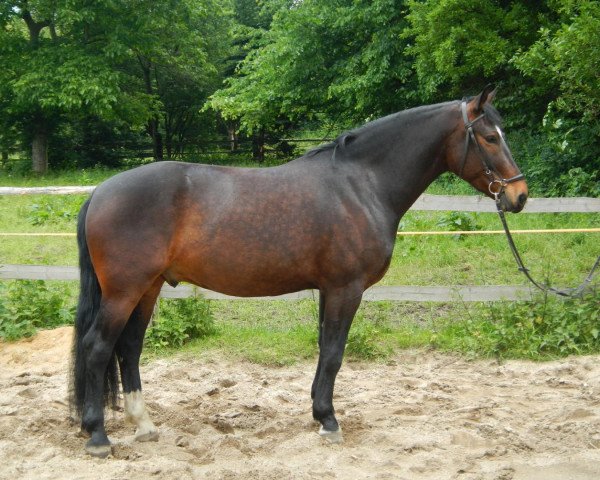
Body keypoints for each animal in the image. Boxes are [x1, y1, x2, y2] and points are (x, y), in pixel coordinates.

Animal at [71, 86, 528, 458]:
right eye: (490, 137)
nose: (520, 195)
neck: (360, 185)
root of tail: (99, 193)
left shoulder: (329, 289)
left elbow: (324, 350)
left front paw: (317, 413)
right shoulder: (346, 288)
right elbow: (335, 353)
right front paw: (329, 421)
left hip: (147, 289)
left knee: (129, 348)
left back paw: (144, 425)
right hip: (124, 292)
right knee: (97, 347)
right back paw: (98, 436)